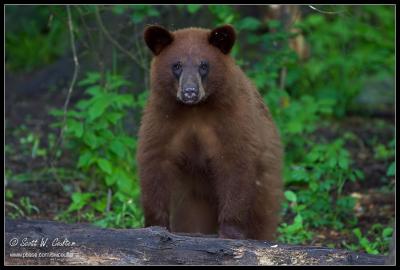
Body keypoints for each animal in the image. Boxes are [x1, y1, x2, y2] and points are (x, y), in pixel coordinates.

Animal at [138, 24, 284, 239]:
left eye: (204, 65)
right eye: (177, 65)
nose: (190, 91)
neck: (195, 110)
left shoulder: (232, 118)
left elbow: (236, 164)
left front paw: (231, 230)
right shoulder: (163, 118)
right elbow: (155, 162)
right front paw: (155, 225)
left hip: (265, 185)